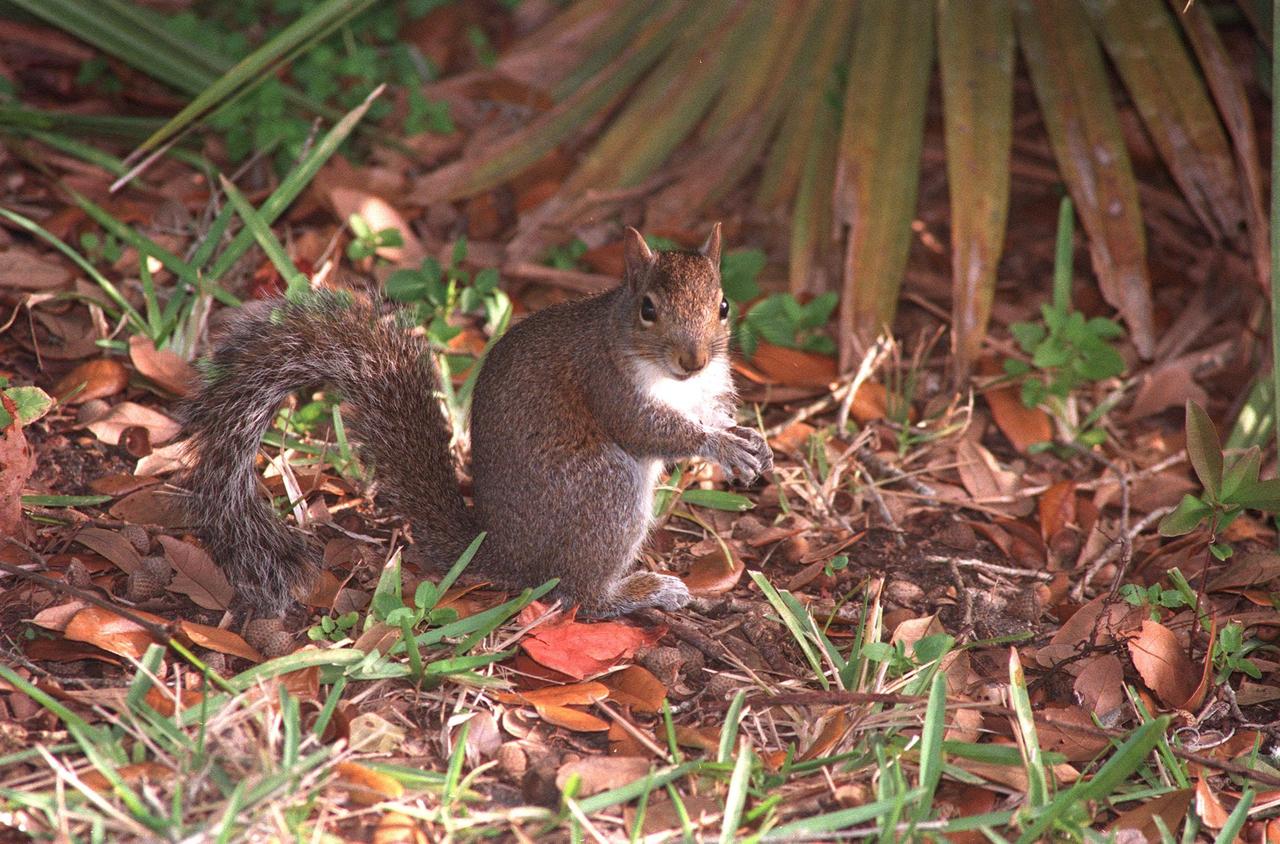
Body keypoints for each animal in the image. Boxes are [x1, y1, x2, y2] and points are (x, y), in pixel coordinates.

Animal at [178, 224, 773, 619]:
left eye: (723, 306)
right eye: (648, 308)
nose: (693, 359)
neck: (677, 382)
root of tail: (503, 552)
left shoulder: (709, 387)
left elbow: (715, 411)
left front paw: (745, 441)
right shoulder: (606, 384)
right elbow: (650, 431)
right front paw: (720, 447)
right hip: (605, 491)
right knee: (580, 596)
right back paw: (638, 593)